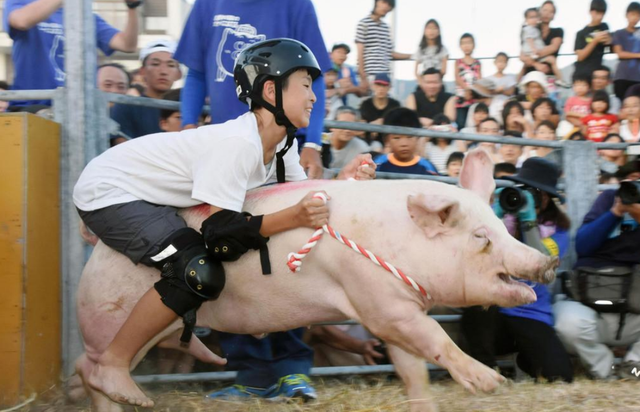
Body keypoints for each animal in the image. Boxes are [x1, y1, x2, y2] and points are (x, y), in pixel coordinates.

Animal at [74, 150, 556, 412]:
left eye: (500, 224)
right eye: (480, 237)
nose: (546, 263)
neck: (397, 244)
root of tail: (94, 249)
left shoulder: (397, 309)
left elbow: (412, 367)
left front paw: (426, 402)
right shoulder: (380, 304)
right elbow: (437, 338)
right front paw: (490, 383)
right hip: (108, 313)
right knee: (93, 365)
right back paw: (127, 397)